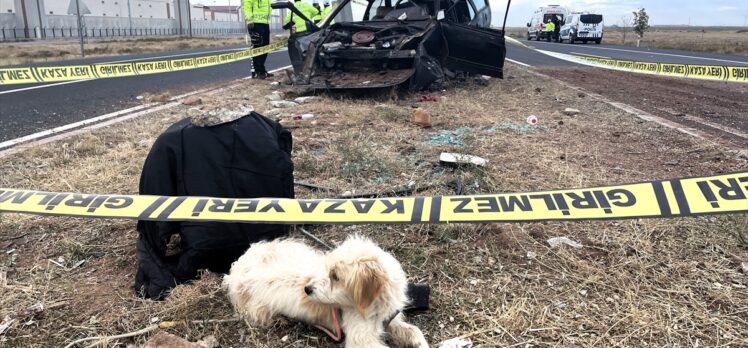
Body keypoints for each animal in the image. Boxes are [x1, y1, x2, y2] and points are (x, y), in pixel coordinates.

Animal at [224, 235, 426, 346]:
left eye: (335, 276)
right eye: (329, 271)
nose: (307, 289)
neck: (372, 307)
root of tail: (239, 265)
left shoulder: (392, 319)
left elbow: (414, 330)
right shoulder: (360, 339)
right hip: (257, 308)